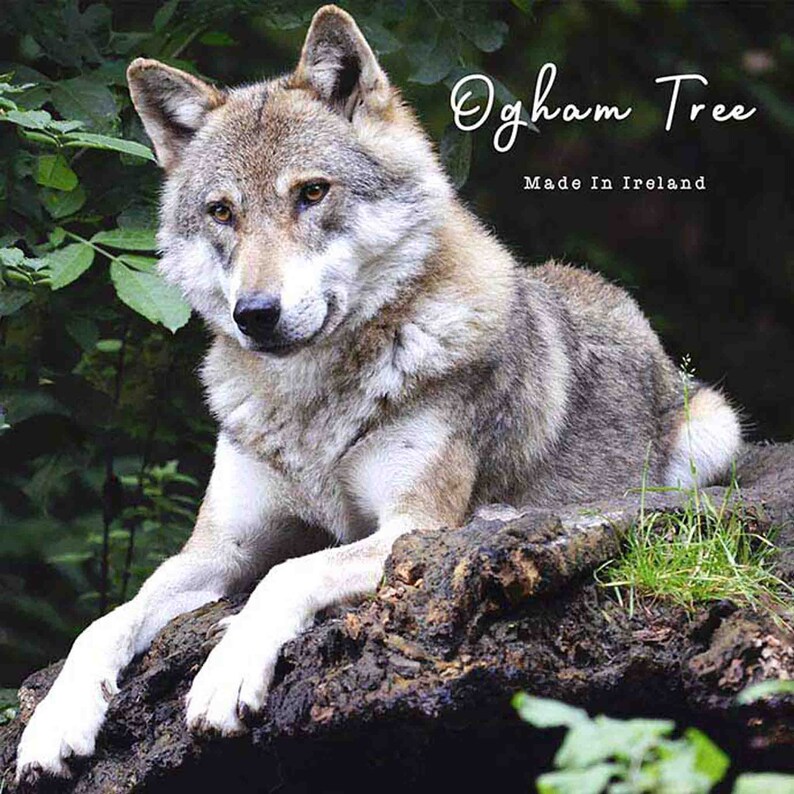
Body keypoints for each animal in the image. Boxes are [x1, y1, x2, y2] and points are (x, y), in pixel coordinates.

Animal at [15, 4, 742, 783]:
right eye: (221, 212)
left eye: (311, 192)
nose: (255, 314)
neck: (311, 407)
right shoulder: (217, 549)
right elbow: (105, 621)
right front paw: (54, 721)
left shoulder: (409, 528)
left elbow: (287, 574)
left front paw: (224, 674)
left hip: (712, 432)